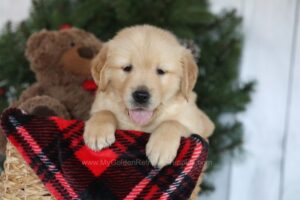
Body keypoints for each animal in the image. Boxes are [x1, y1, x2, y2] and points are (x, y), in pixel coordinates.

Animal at [84, 24, 213, 170]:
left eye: (161, 71)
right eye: (127, 68)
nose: (141, 96)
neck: (140, 125)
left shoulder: (199, 127)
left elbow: (172, 122)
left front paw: (161, 147)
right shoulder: (100, 105)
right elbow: (104, 111)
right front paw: (97, 131)